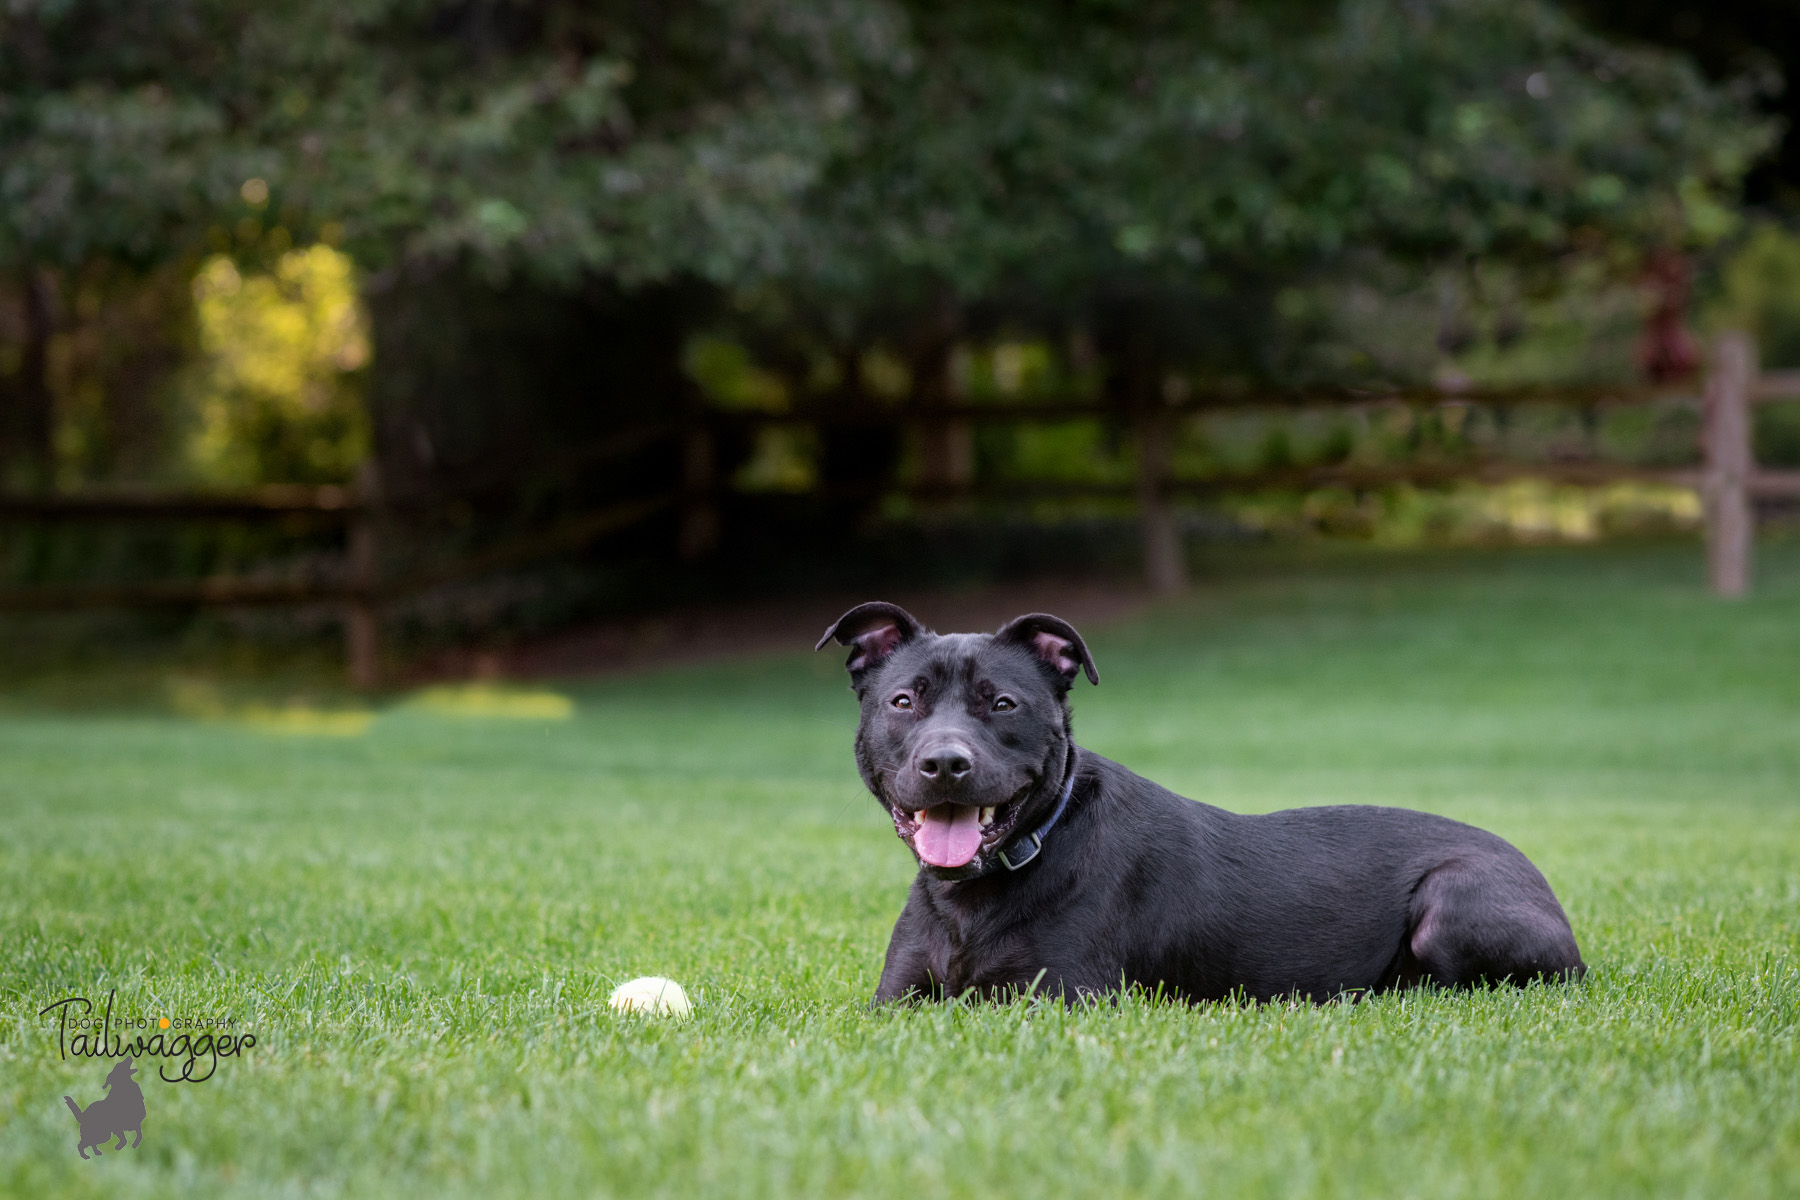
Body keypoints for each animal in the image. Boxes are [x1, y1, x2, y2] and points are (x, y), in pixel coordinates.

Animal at [820, 600, 1591, 1007]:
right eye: (903, 700)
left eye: (1003, 703)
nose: (945, 764)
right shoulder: (896, 1002)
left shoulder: (1058, 999)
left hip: (1452, 902)